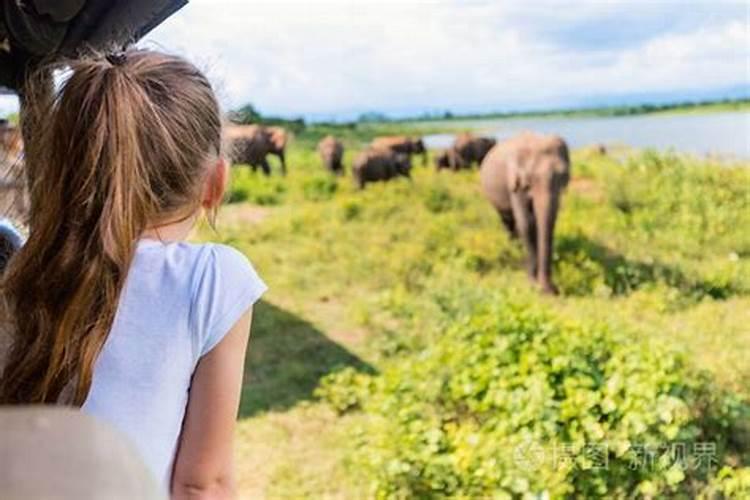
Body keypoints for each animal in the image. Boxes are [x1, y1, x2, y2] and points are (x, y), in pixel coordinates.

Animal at [482, 134, 568, 296]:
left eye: (563, 176)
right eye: (531, 178)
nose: (553, 290)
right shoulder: (515, 181)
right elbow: (526, 223)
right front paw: (532, 283)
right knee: (507, 220)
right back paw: (514, 247)